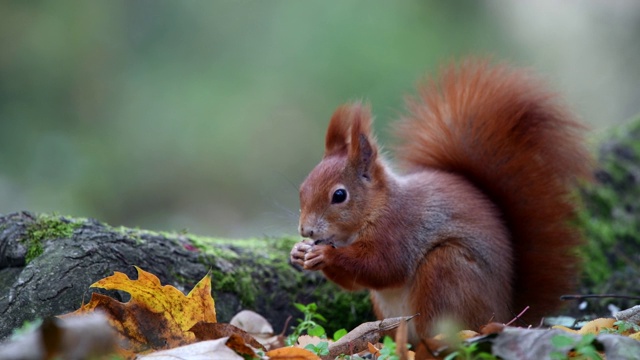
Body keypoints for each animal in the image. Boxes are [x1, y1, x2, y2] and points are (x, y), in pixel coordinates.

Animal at [288, 59, 592, 346]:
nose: (306, 230)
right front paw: (298, 252)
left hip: (447, 271)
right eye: (302, 188)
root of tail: (506, 314)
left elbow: (382, 266)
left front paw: (324, 255)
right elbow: (355, 283)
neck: (376, 208)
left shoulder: (400, 229)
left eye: (339, 195)